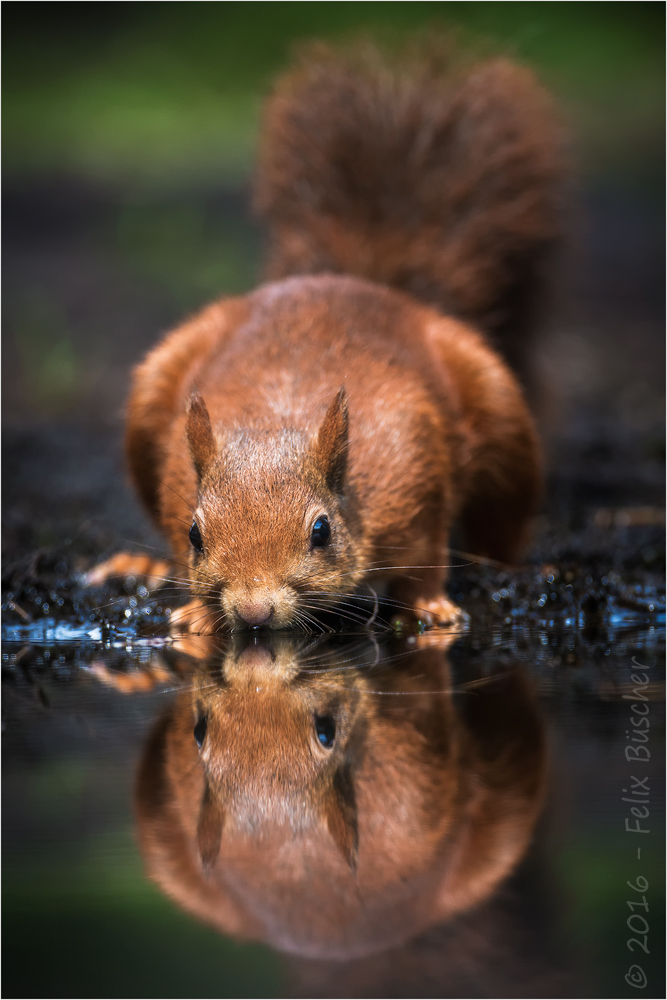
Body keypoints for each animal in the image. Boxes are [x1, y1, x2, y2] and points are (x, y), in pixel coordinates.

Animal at [92, 45, 564, 632]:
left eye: (322, 532)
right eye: (195, 535)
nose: (253, 611)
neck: (278, 421)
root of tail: (360, 282)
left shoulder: (417, 468)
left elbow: (428, 556)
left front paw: (431, 606)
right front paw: (197, 616)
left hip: (502, 414)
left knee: (503, 520)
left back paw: (523, 569)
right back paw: (140, 564)